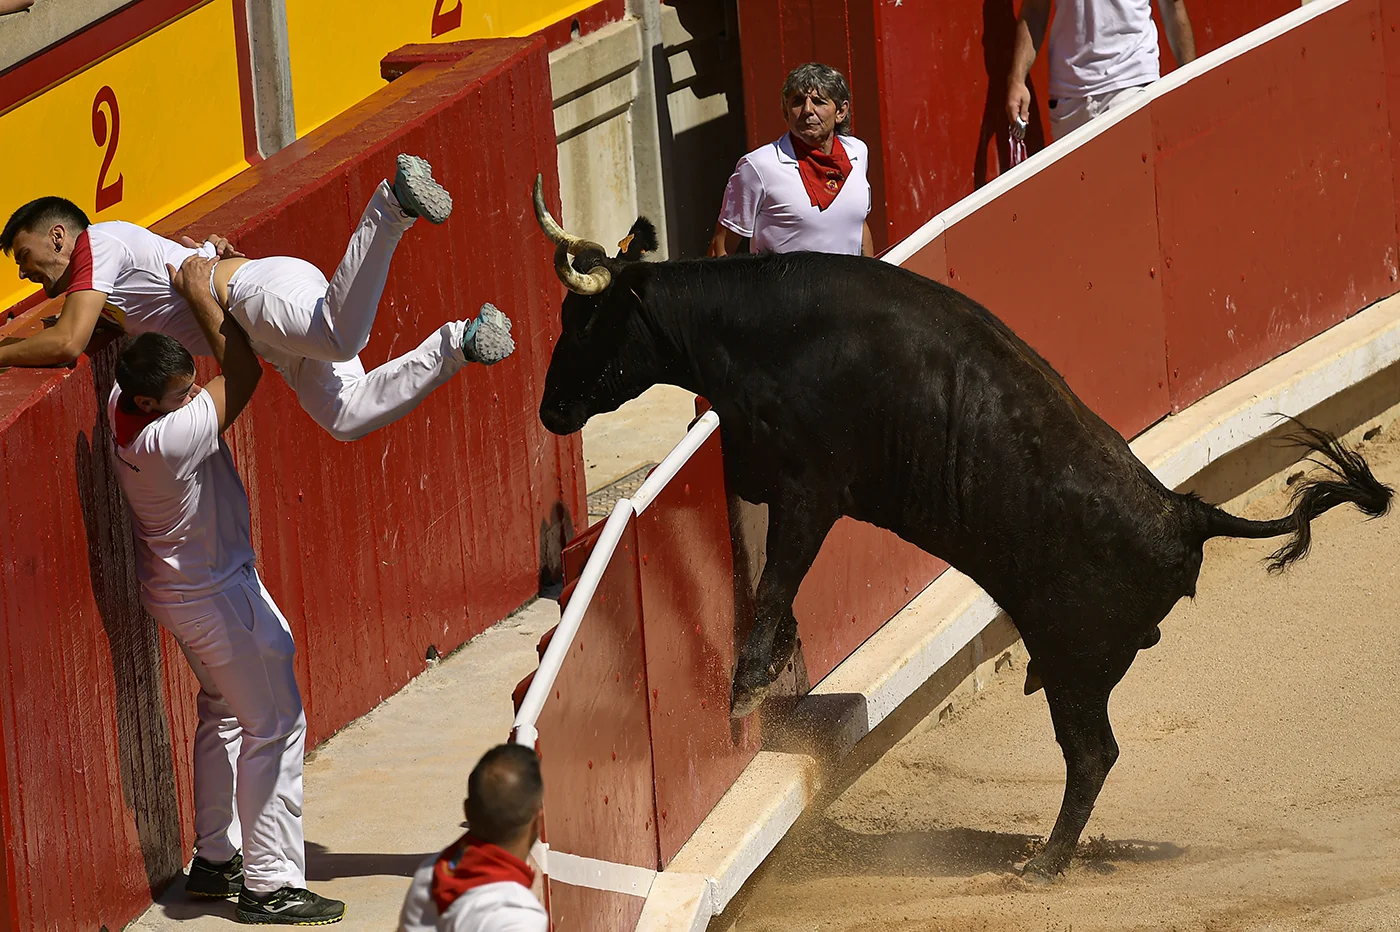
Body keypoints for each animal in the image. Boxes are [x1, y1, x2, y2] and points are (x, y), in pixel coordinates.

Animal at [529, 183, 1394, 878]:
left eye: (587, 317)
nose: (551, 410)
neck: (756, 327)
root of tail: (1187, 512)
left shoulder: (810, 490)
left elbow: (778, 576)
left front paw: (746, 686)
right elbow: (774, 577)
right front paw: (776, 662)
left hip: (1075, 659)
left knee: (1092, 754)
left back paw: (1042, 865)